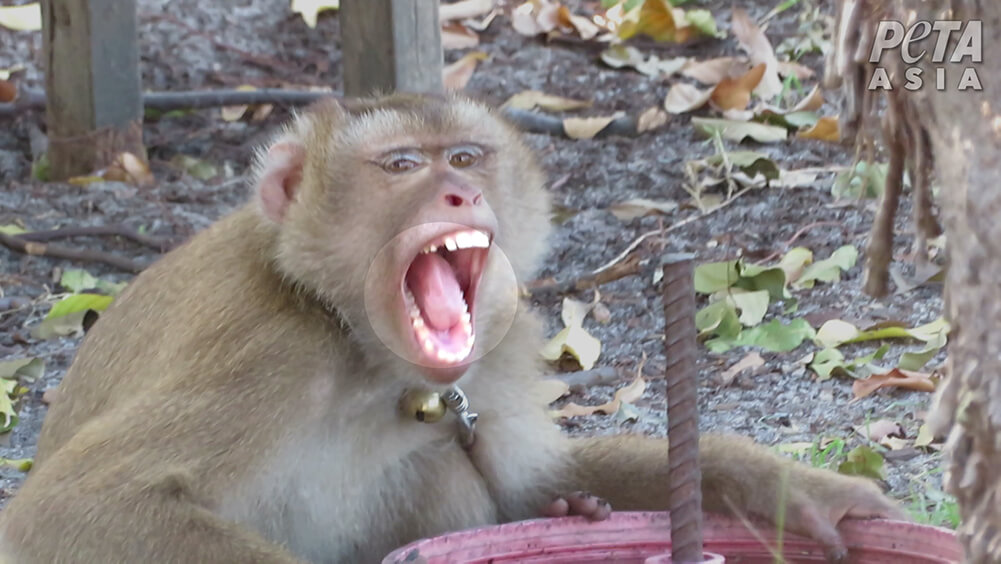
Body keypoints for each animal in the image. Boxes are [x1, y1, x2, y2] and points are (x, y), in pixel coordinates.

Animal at [0, 93, 904, 564]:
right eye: (402, 166)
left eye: (465, 158)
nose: (460, 194)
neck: (356, 345)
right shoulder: (262, 352)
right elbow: (75, 510)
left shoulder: (495, 341)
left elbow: (527, 489)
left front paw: (776, 486)